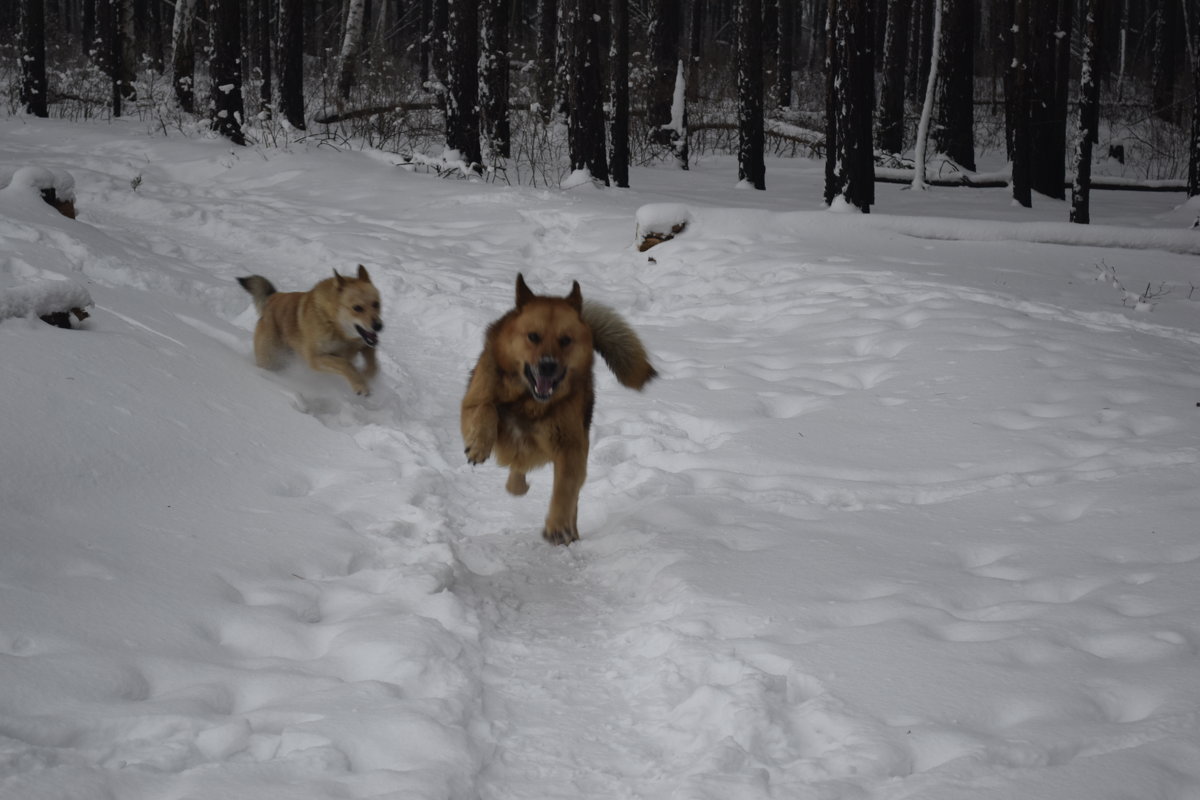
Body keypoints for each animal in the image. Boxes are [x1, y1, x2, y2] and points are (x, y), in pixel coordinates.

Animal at [236, 266, 381, 398]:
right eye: (357, 308)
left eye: (376, 304)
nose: (379, 326)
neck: (334, 325)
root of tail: (272, 297)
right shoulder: (315, 358)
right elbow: (345, 364)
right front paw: (360, 384)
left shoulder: (365, 345)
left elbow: (373, 366)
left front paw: (365, 376)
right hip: (270, 357)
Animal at [460, 273, 657, 544]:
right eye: (533, 336)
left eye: (565, 340)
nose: (547, 366)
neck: (530, 402)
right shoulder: (474, 402)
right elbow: (486, 409)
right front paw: (478, 447)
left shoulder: (570, 445)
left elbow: (565, 489)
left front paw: (558, 525)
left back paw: (568, 530)